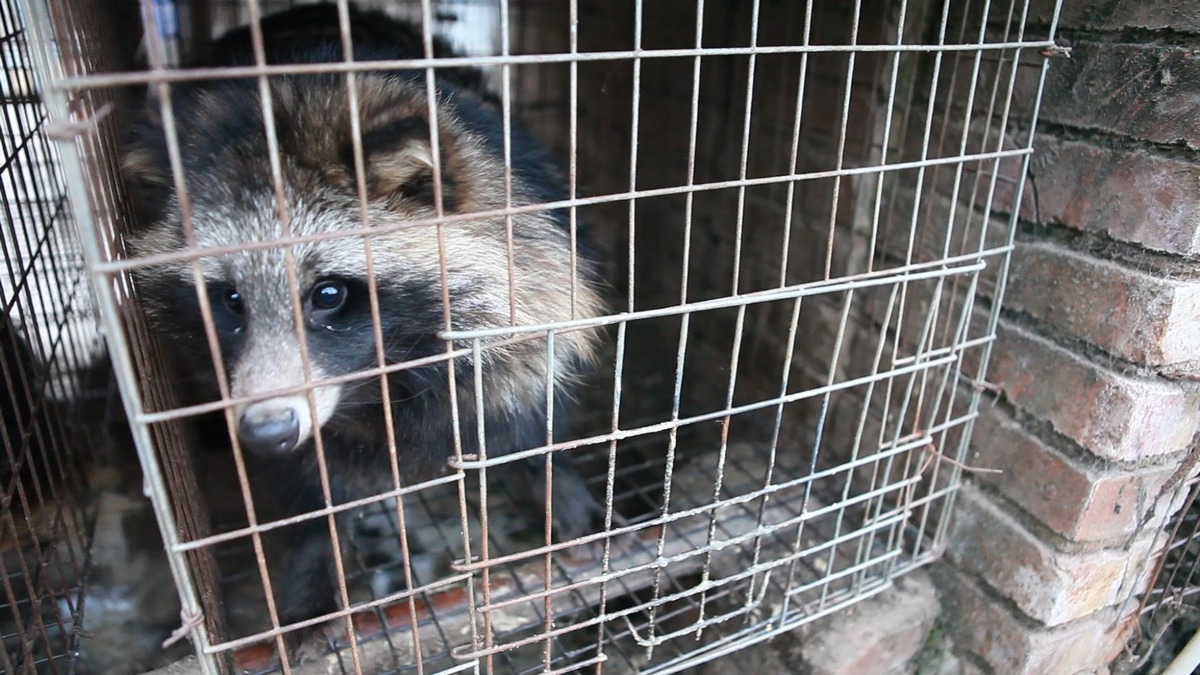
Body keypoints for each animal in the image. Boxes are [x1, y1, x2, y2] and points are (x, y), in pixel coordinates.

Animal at [121, 2, 604, 658]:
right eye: (230, 300)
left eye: (328, 294)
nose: (266, 430)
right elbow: (306, 487)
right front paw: (313, 570)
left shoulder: (532, 274)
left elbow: (525, 395)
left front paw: (554, 478)